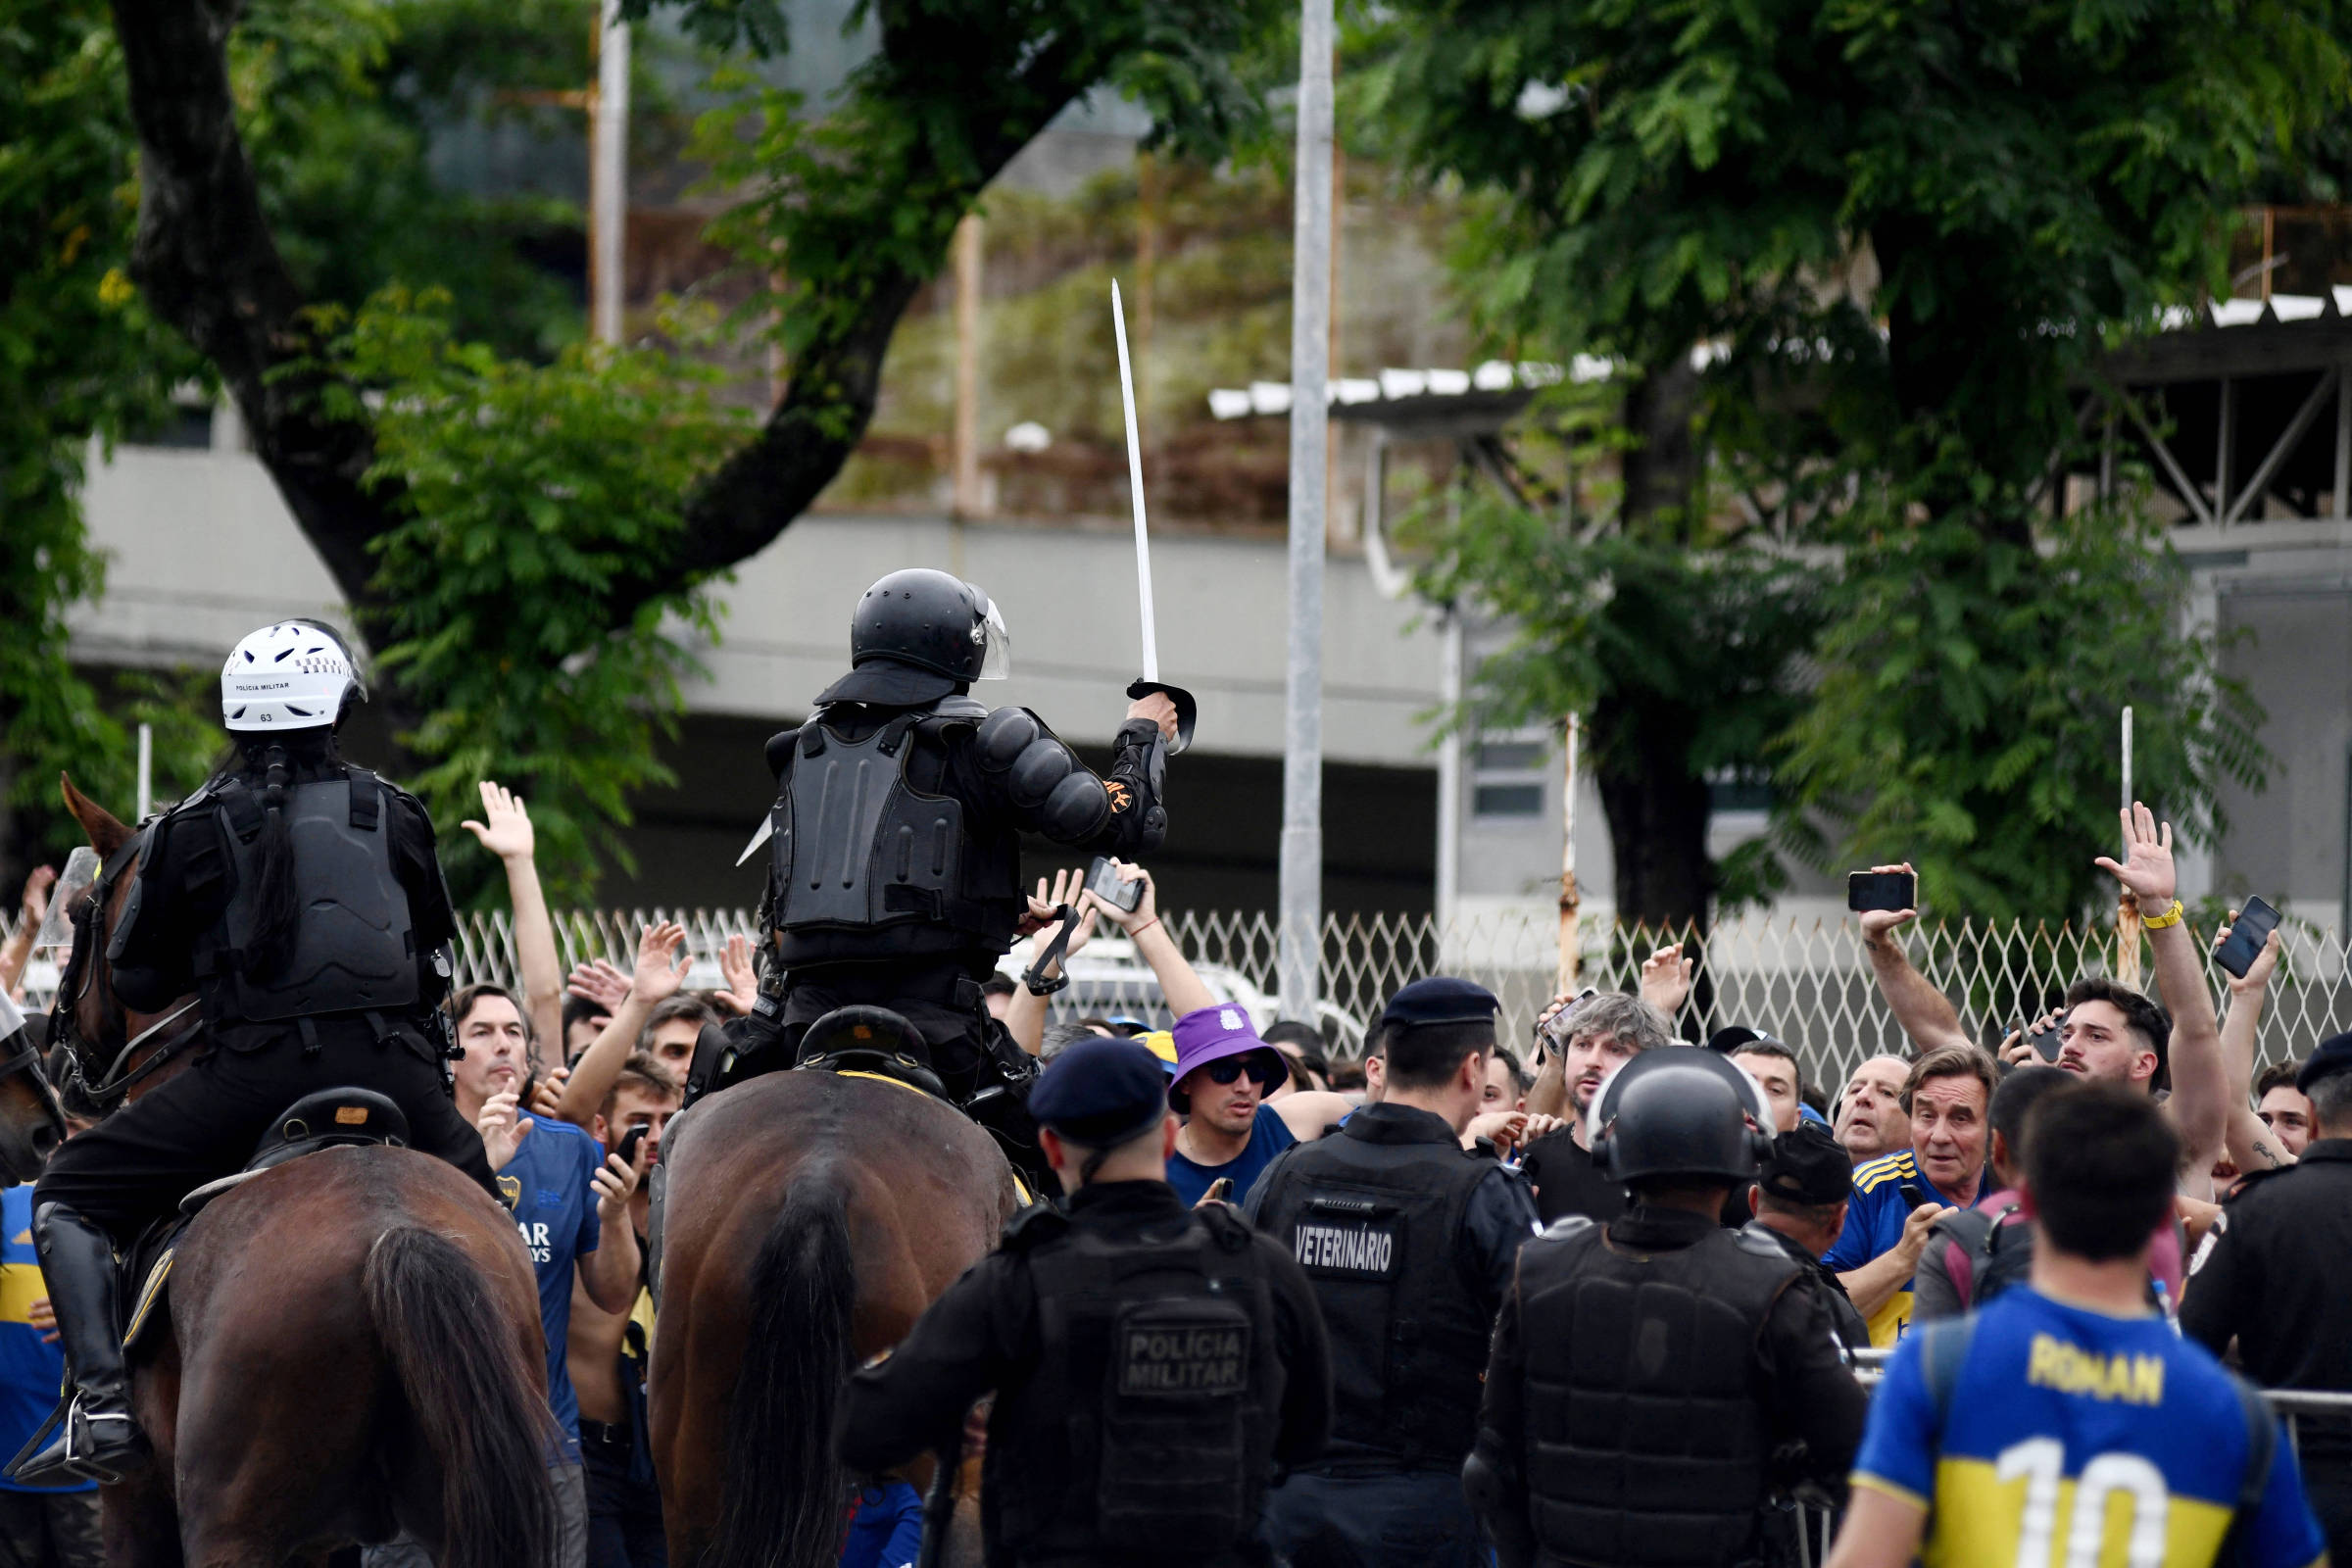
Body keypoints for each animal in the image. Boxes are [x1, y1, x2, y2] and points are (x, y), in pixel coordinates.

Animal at [51, 785, 560, 1568]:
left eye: (80, 911)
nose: (55, 1057)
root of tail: (394, 1234)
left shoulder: (134, 1506)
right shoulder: (334, 1539)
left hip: (231, 1529)